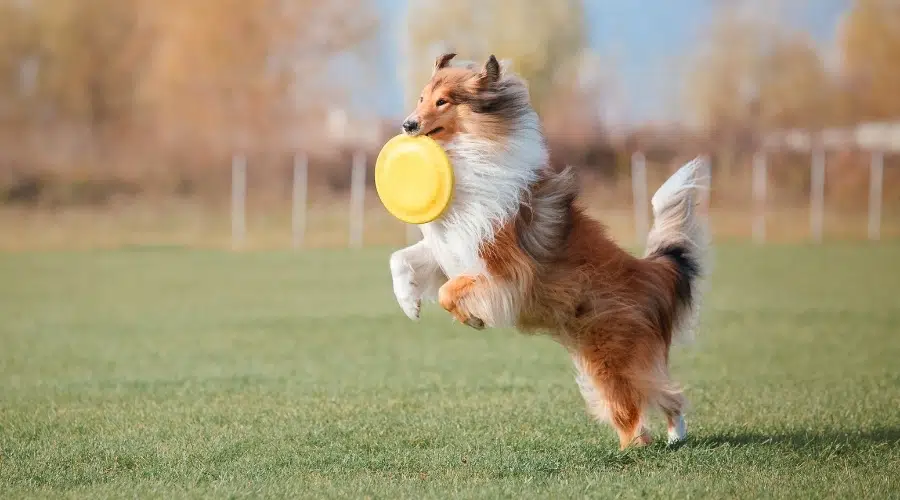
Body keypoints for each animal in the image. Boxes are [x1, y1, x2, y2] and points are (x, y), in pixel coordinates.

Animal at [388, 52, 712, 452]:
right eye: (421, 98)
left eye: (443, 101)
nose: (408, 124)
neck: (467, 154)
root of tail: (648, 271)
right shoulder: (449, 248)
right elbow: (401, 260)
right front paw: (410, 304)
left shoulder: (503, 268)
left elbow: (451, 291)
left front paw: (473, 318)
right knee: (662, 394)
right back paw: (673, 434)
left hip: (611, 358)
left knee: (640, 406)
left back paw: (635, 448)